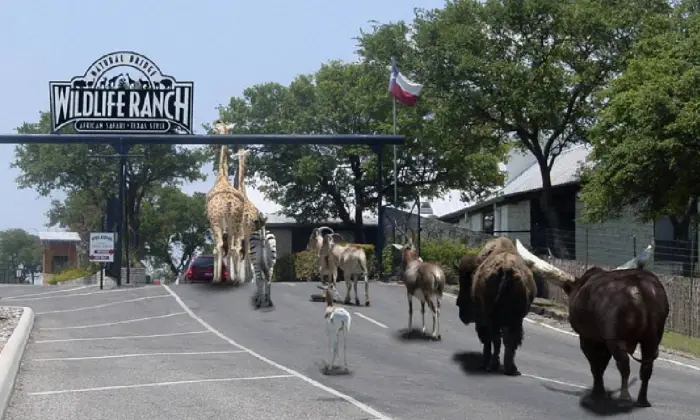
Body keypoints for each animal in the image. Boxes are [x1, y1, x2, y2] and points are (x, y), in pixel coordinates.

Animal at [454, 235, 536, 376]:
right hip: (515, 319)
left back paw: (492, 365)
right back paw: (511, 369)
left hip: (492, 319)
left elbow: (487, 341)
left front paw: (484, 363)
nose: (458, 303)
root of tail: (507, 268)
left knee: (495, 339)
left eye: (466, 282)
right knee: (510, 340)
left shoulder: (482, 319)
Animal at [516, 240, 668, 406]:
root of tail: (639, 287)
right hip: (652, 338)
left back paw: (624, 398)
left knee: (624, 364)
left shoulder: (588, 338)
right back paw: (642, 400)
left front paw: (597, 393)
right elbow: (602, 364)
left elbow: (596, 366)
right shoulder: (602, 340)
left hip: (617, 340)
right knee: (646, 367)